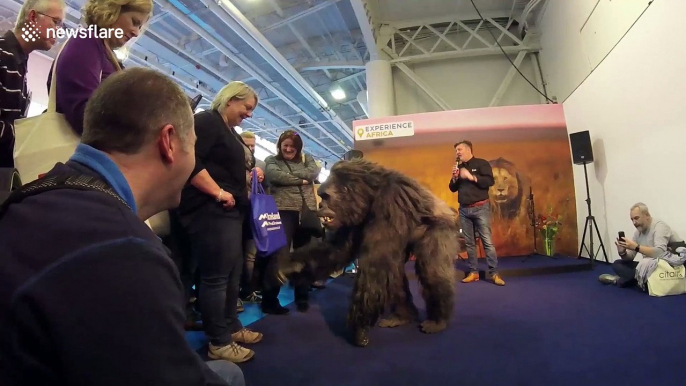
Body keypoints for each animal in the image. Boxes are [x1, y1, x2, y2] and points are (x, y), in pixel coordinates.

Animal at [280, 158, 462, 348]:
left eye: (325, 196)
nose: (321, 205)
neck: (370, 194)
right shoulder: (350, 219)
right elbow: (338, 250)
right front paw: (290, 265)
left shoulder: (390, 202)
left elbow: (375, 267)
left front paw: (358, 329)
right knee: (394, 269)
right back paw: (402, 316)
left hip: (443, 227)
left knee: (431, 270)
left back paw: (438, 320)